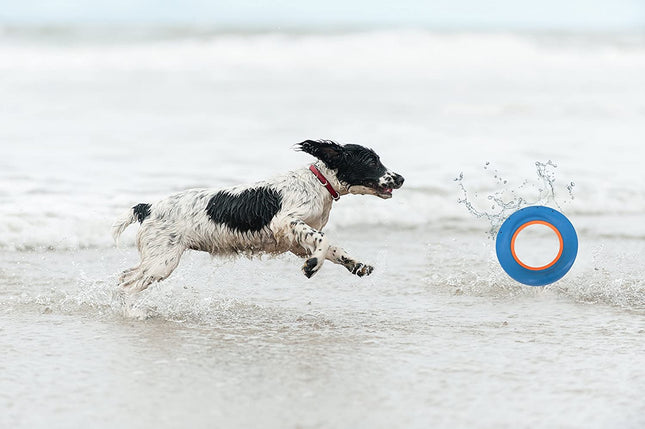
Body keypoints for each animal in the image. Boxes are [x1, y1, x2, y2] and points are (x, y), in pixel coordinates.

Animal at [112, 139, 402, 292]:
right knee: (128, 286)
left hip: (158, 258)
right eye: (371, 161)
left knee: (125, 277)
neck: (318, 183)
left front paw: (356, 264)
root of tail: (146, 207)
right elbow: (323, 240)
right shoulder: (286, 221)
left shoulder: (295, 241)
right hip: (163, 261)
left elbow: (334, 248)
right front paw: (312, 265)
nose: (400, 178)